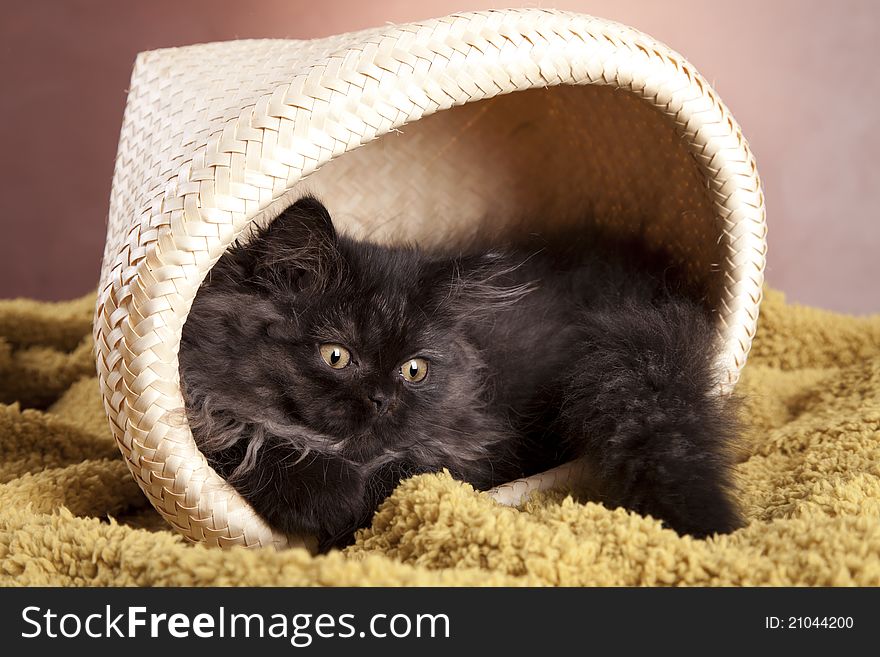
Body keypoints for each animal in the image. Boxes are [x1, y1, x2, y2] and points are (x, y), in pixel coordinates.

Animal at [179, 195, 744, 548]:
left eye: (414, 370)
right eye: (336, 356)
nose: (382, 398)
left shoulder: (472, 451)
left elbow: (405, 474)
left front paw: (343, 507)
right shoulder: (204, 410)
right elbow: (256, 439)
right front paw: (325, 497)